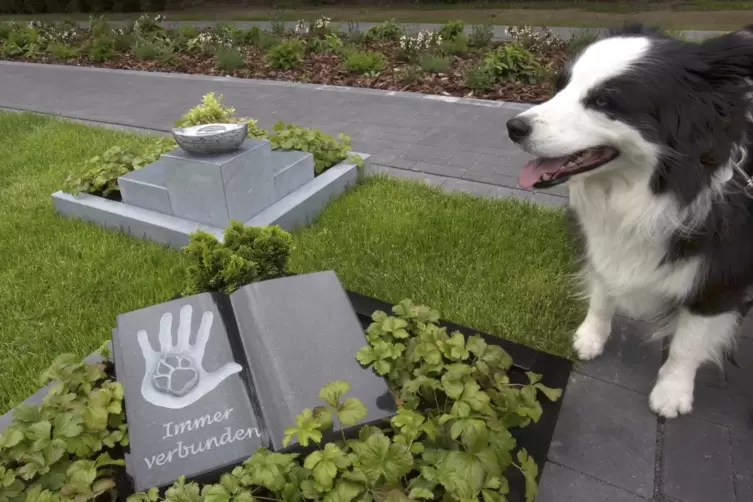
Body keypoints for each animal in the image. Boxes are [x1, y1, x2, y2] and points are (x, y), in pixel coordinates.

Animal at [502, 25, 753, 420]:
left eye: (606, 101)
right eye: (561, 85)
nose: (514, 127)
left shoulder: (722, 276)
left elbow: (688, 342)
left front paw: (672, 392)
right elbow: (604, 288)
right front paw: (590, 336)